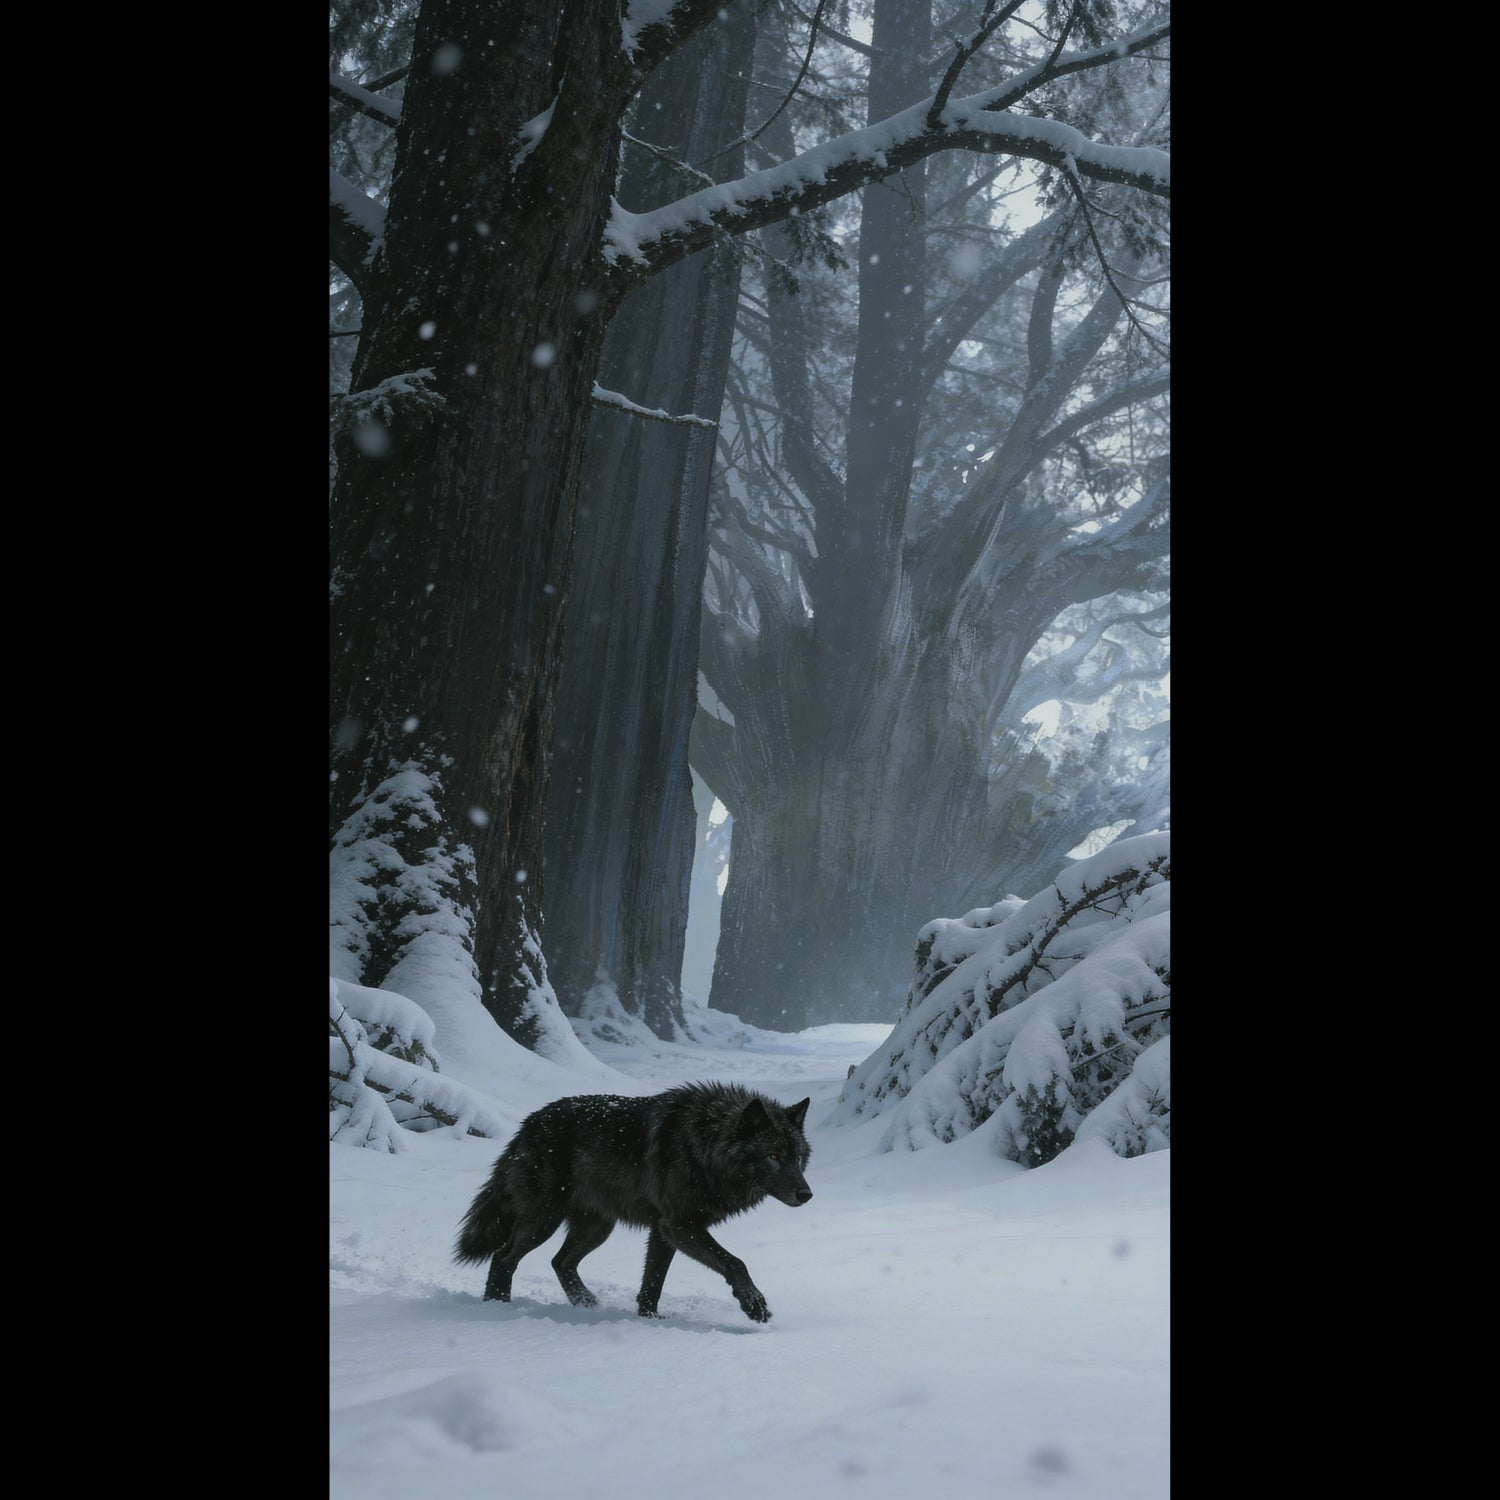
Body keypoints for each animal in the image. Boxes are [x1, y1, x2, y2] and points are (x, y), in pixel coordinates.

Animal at [453, 1081, 813, 1322]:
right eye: (773, 1156)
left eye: (797, 1157)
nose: (806, 1195)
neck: (703, 1145)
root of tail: (527, 1124)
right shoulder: (679, 1225)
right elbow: (735, 1262)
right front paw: (754, 1304)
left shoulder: (663, 1230)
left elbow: (653, 1280)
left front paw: (649, 1319)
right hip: (543, 1220)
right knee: (503, 1257)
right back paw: (497, 1306)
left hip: (597, 1228)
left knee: (560, 1262)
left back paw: (586, 1304)